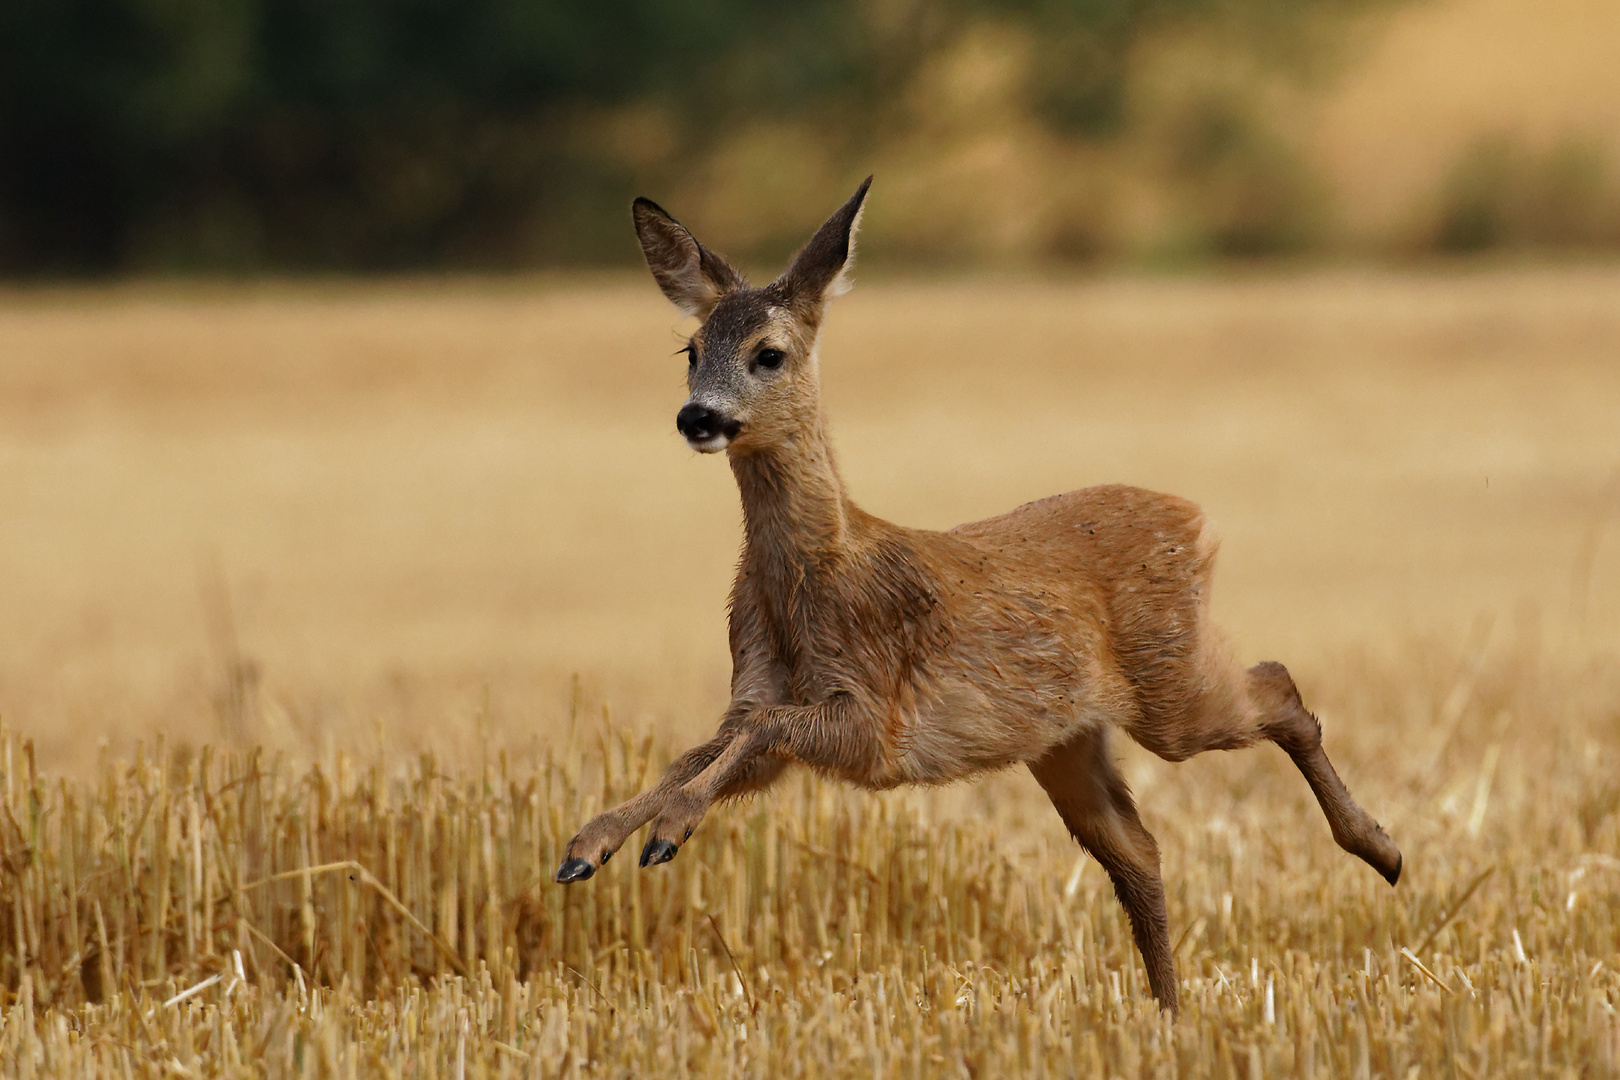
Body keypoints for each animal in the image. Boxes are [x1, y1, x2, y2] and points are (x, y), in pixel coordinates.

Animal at [554, 177, 1393, 1016]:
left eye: (769, 353)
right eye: (691, 351)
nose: (697, 415)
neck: (810, 584)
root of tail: (1198, 520)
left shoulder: (874, 719)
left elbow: (757, 734)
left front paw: (668, 830)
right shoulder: (756, 690)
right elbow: (700, 751)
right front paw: (590, 844)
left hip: (1172, 688)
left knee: (1278, 688)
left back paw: (1382, 852)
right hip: (1066, 740)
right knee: (1139, 851)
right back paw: (1170, 1012)